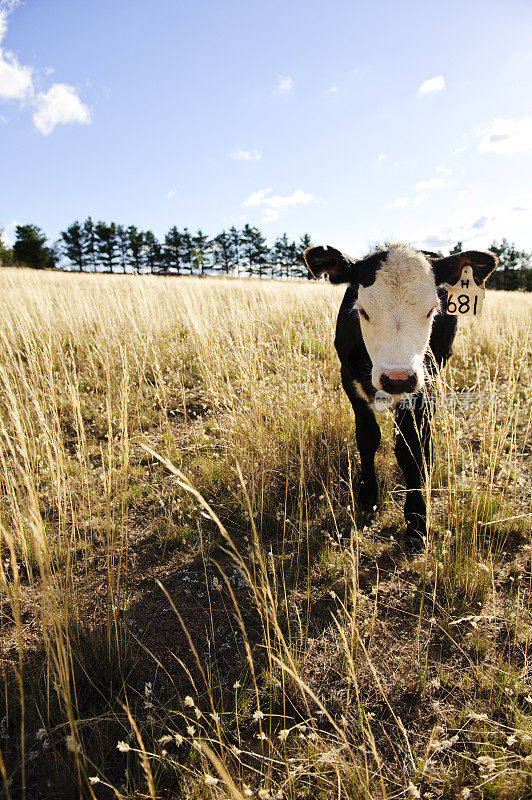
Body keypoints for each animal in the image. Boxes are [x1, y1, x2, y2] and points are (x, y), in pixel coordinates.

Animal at [306, 242, 496, 552]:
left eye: (432, 310)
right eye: (363, 311)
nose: (397, 378)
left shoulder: (425, 386)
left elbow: (411, 451)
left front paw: (417, 520)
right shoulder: (349, 379)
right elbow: (368, 438)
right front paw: (367, 497)